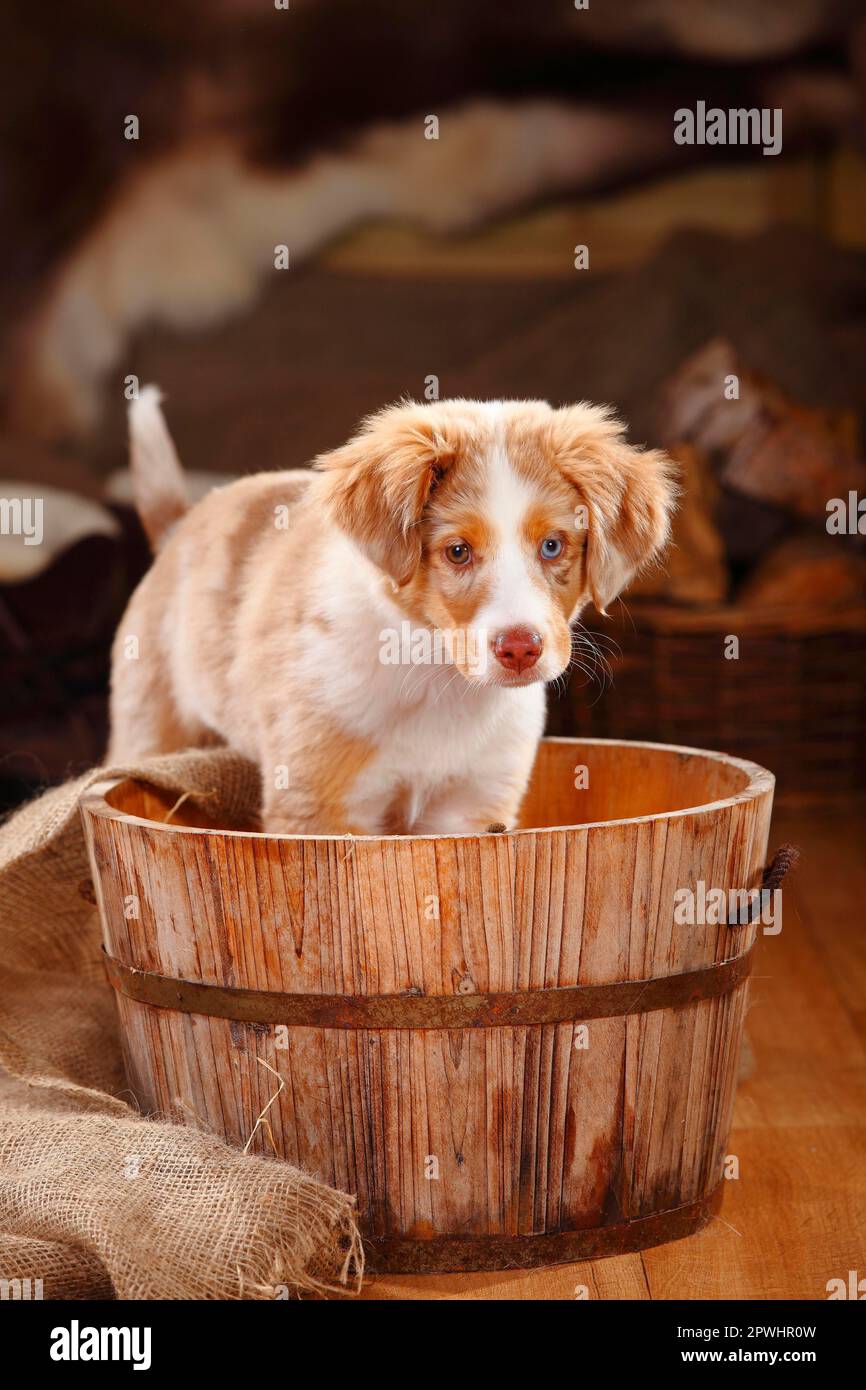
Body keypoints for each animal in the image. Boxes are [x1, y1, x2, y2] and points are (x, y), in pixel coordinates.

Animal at [108, 386, 678, 828]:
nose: (520, 650)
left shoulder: (472, 805)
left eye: (553, 546)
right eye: (458, 551)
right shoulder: (320, 806)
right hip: (150, 721)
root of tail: (183, 523)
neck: (437, 680)